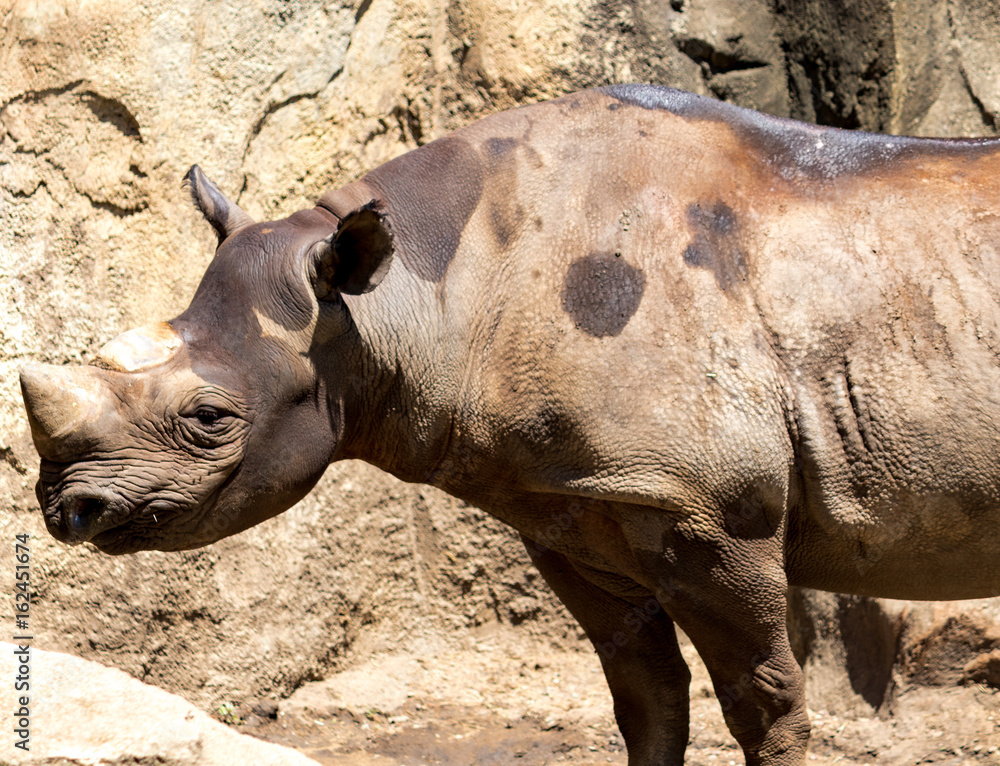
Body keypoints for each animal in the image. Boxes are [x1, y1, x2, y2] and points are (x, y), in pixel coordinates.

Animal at [19, 83, 1000, 764]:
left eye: (209, 417)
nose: (66, 509)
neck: (411, 299)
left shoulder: (710, 507)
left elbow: (765, 702)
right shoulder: (575, 506)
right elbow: (646, 697)